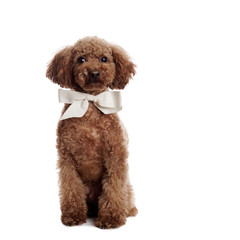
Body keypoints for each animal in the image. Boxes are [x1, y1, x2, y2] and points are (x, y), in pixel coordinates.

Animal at [46, 37, 138, 229]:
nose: (94, 72)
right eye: (81, 59)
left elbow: (113, 189)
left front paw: (111, 218)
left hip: (126, 188)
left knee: (125, 196)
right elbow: (71, 188)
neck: (89, 102)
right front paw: (73, 215)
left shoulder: (115, 157)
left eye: (104, 59)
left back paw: (128, 211)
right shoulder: (67, 160)